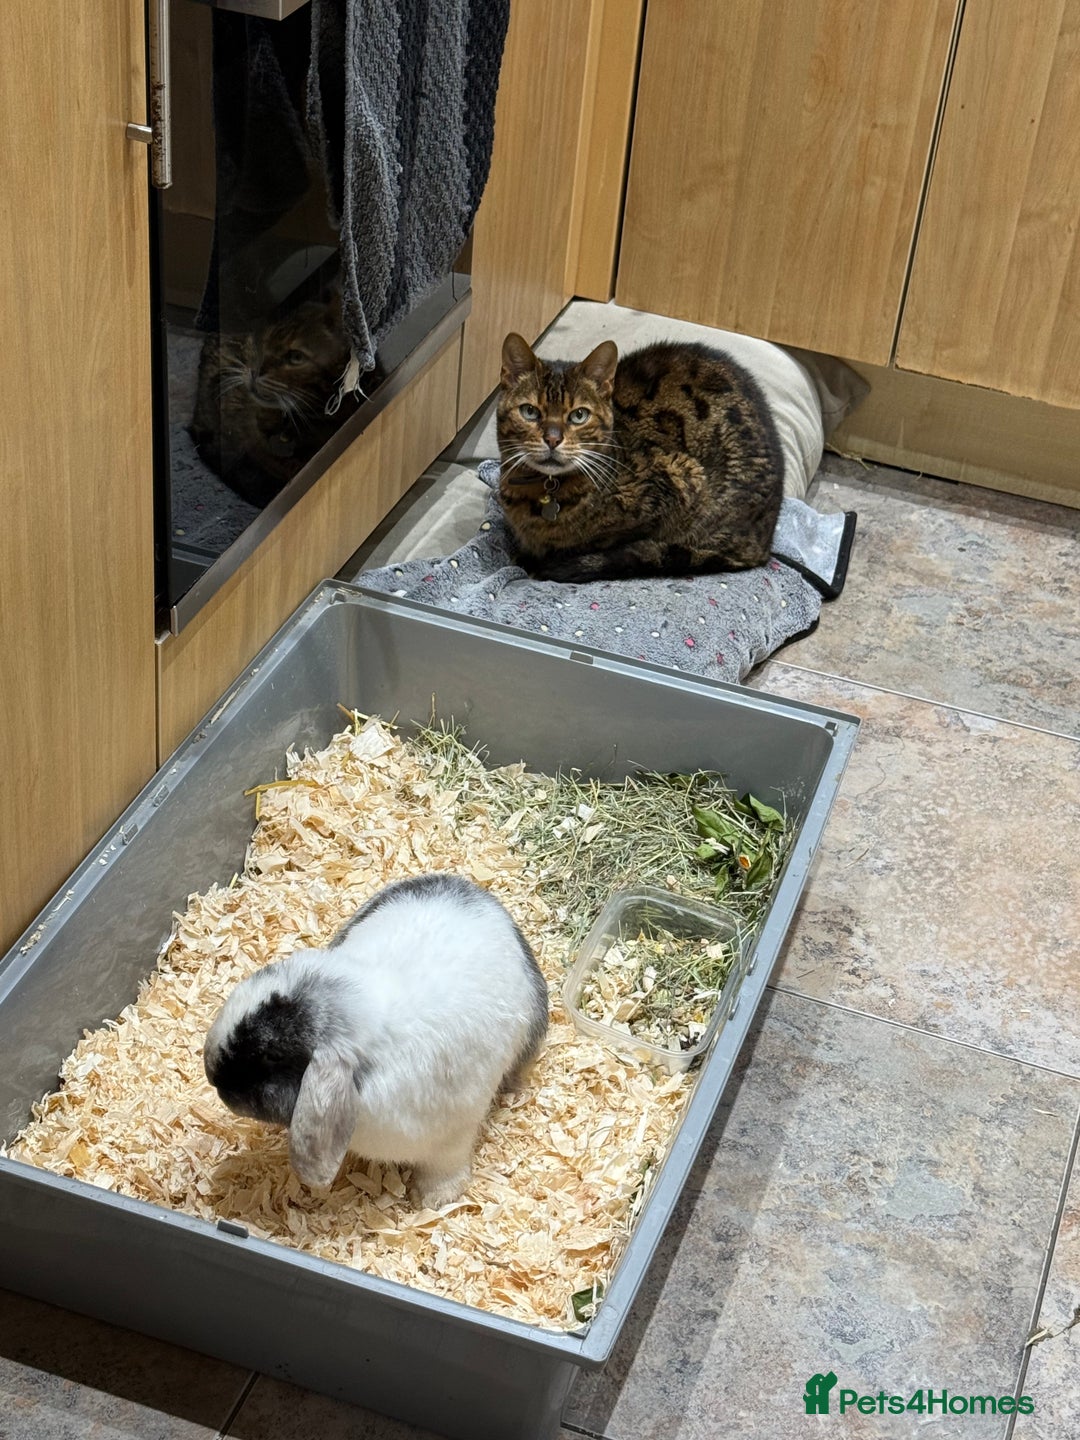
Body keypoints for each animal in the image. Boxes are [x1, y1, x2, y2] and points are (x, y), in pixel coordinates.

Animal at [203, 872, 549, 1208]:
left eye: (270, 1055)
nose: (213, 1077)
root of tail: (475, 890)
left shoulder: (453, 1137)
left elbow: (444, 1169)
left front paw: (433, 1200)